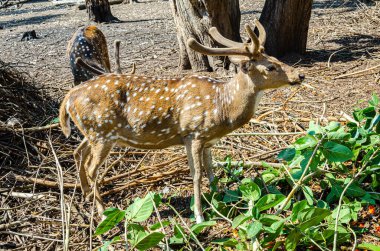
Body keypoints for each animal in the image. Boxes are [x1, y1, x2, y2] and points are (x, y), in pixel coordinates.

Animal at [58, 20, 302, 224]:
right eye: (270, 67)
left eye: (276, 59)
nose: (300, 75)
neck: (222, 108)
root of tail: (69, 97)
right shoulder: (193, 133)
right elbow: (196, 174)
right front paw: (199, 215)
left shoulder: (208, 140)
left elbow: (211, 169)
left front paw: (221, 196)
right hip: (102, 133)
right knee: (91, 168)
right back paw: (102, 212)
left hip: (92, 133)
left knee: (78, 152)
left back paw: (85, 194)